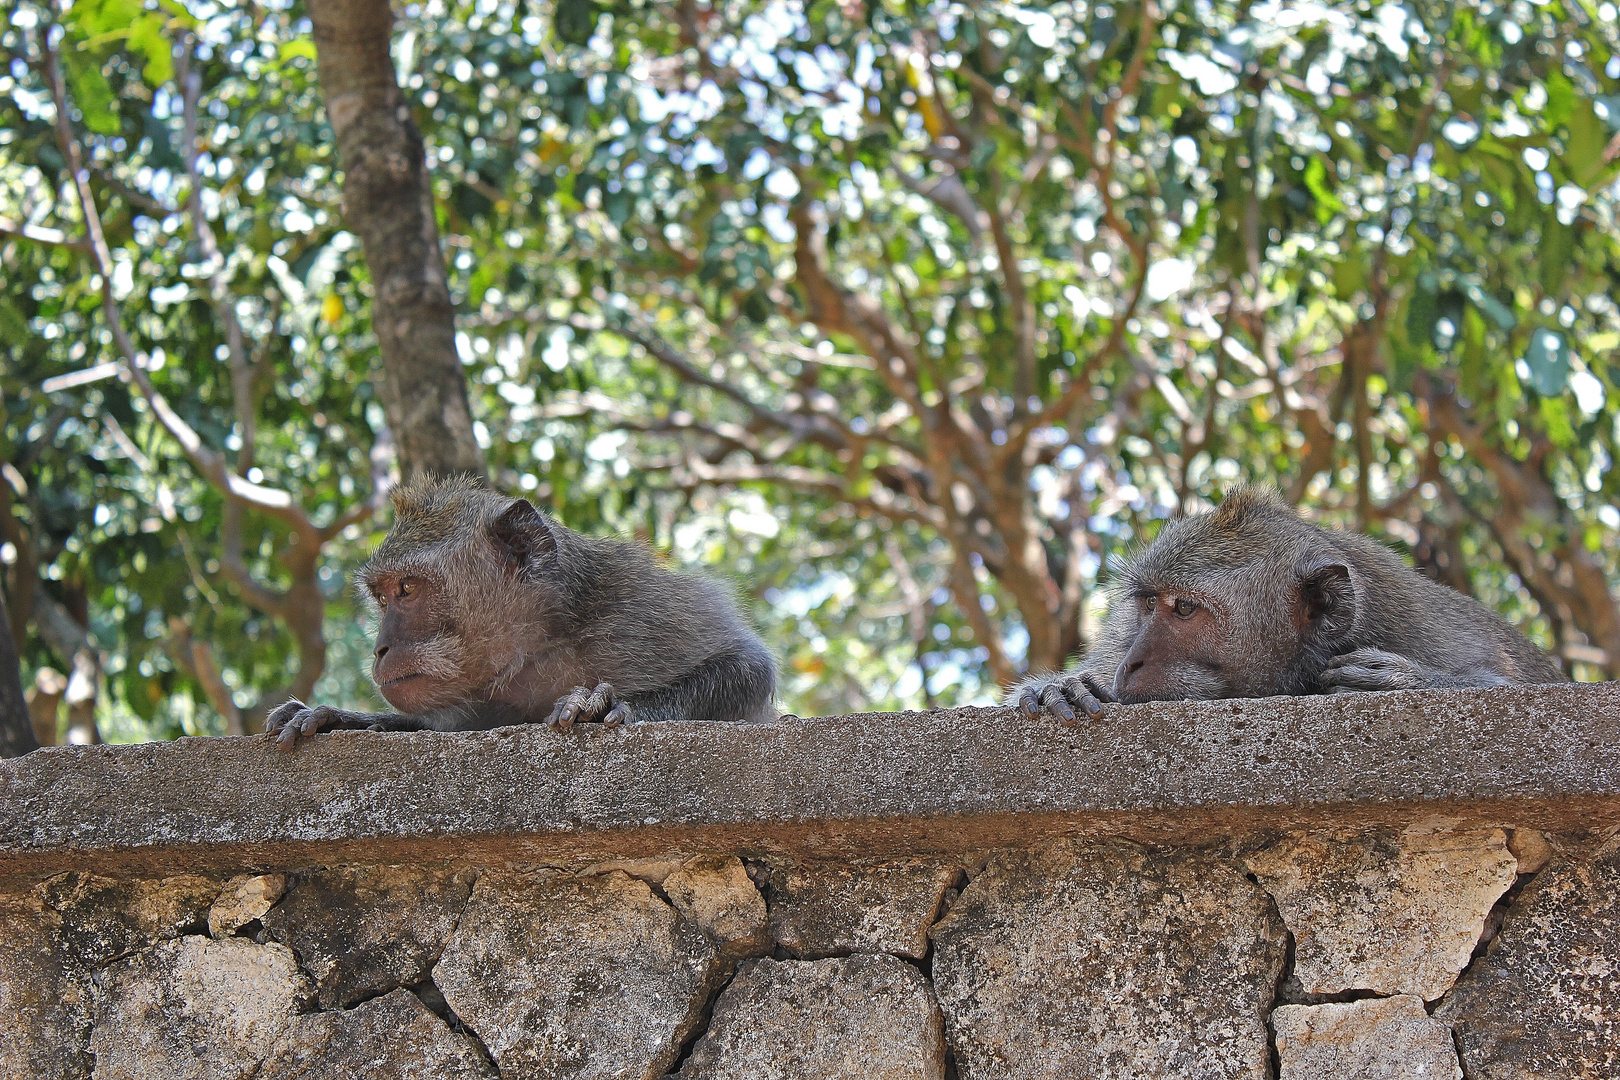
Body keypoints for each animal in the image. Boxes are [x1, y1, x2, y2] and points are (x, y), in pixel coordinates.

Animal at [265, 476, 777, 748]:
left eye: (406, 589)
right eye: (382, 598)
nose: (380, 648)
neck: (541, 645)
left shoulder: (637, 609)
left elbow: (749, 666)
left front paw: (608, 705)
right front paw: (339, 718)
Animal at [1010, 485, 1568, 722]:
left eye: (1184, 609)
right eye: (1148, 604)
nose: (1130, 664)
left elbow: (1501, 683)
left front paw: (1399, 680)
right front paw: (1065, 686)